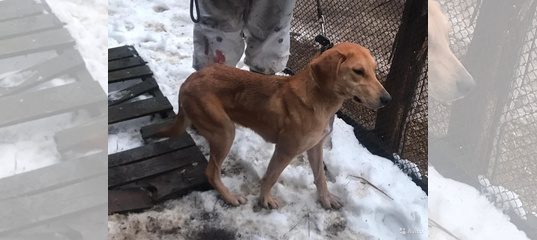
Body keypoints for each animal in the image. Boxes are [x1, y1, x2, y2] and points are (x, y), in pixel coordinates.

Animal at [159, 42, 390, 209]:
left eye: (374, 70)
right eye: (358, 71)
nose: (388, 99)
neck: (320, 101)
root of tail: (189, 80)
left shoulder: (315, 147)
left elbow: (321, 177)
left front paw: (325, 200)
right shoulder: (285, 150)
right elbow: (271, 177)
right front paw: (264, 201)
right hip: (224, 132)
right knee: (211, 173)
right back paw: (230, 197)